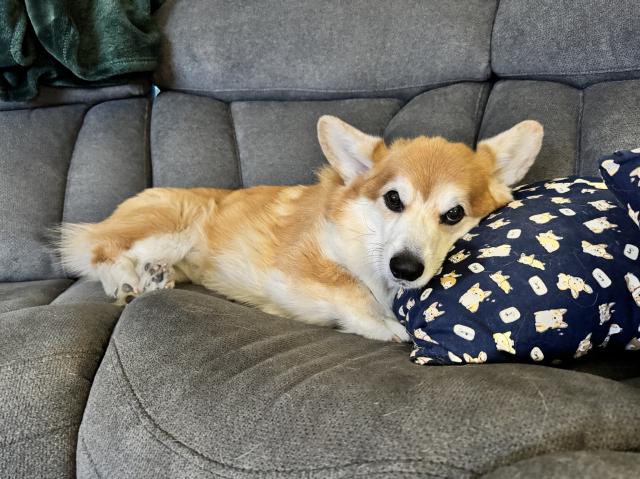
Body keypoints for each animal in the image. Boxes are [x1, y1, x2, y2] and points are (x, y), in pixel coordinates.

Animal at [57, 116, 544, 342]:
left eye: (454, 214)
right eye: (393, 200)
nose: (406, 269)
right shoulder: (297, 268)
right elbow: (351, 289)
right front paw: (386, 326)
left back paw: (157, 278)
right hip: (170, 227)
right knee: (100, 251)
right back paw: (125, 282)